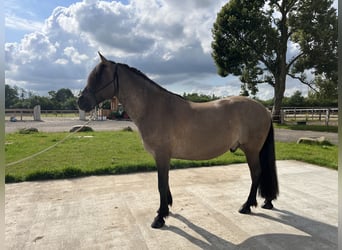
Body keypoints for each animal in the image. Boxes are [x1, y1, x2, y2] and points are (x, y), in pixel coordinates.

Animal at [77, 52, 278, 229]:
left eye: (98, 77)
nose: (81, 102)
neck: (154, 107)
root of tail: (264, 110)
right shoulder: (162, 157)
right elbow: (164, 183)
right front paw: (166, 209)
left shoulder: (162, 155)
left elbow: (161, 184)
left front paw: (160, 218)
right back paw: (267, 202)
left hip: (251, 150)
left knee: (256, 173)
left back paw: (247, 206)